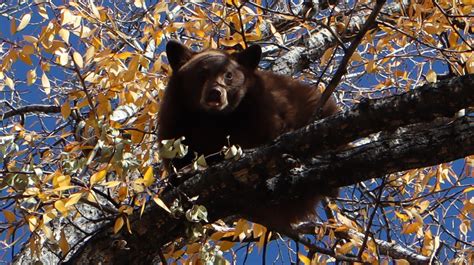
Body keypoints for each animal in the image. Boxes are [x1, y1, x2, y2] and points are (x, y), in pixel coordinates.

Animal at [159, 40, 340, 230]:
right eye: (202, 72)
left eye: (229, 75)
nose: (215, 93)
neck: (212, 119)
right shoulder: (175, 118)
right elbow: (177, 154)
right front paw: (179, 177)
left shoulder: (261, 108)